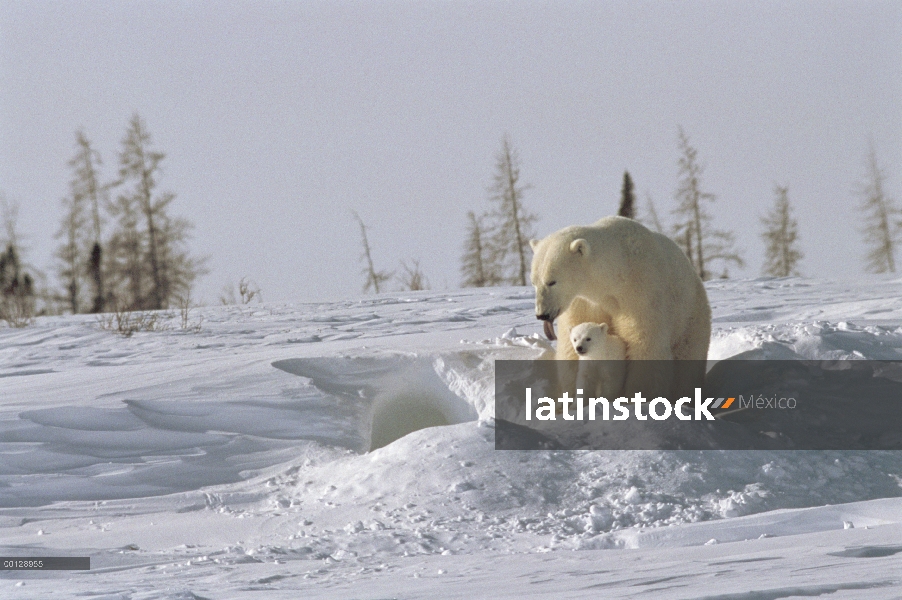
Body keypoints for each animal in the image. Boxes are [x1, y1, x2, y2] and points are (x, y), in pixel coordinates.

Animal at [528, 216, 712, 398]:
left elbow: (645, 343)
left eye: (552, 281)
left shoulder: (641, 294)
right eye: (534, 282)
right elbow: (573, 341)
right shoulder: (583, 302)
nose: (542, 314)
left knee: (688, 362)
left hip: (690, 316)